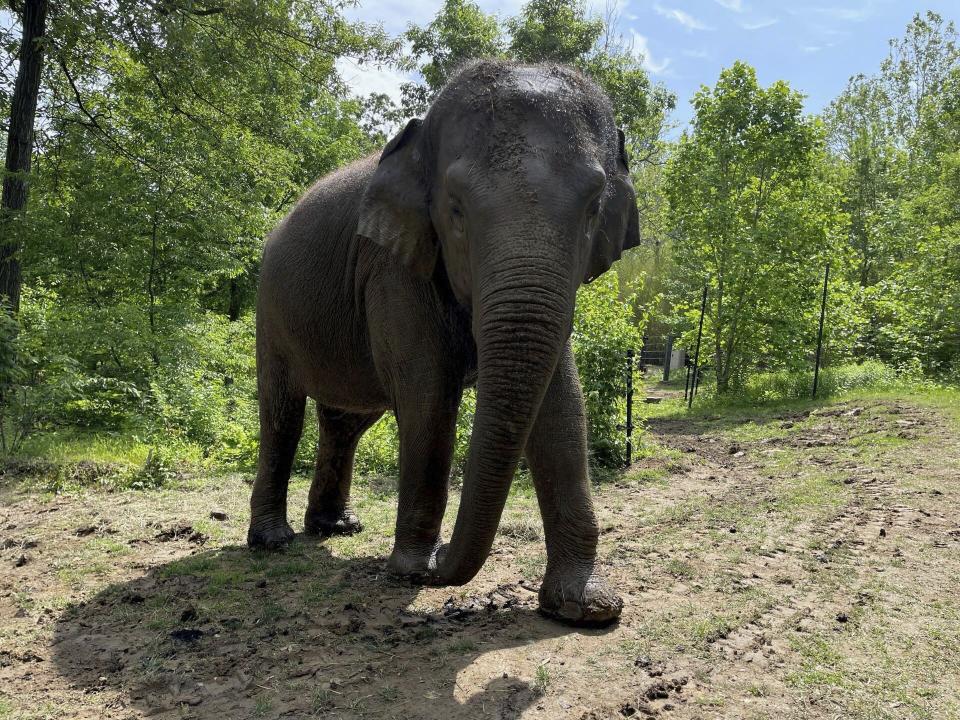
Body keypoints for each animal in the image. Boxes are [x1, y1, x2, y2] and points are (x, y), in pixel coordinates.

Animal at [248, 60, 636, 624]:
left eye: (592, 209)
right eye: (455, 209)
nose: (443, 556)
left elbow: (562, 408)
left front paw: (587, 609)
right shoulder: (393, 266)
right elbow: (428, 397)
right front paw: (411, 569)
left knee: (346, 421)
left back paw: (338, 529)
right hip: (270, 309)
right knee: (282, 413)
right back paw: (273, 542)